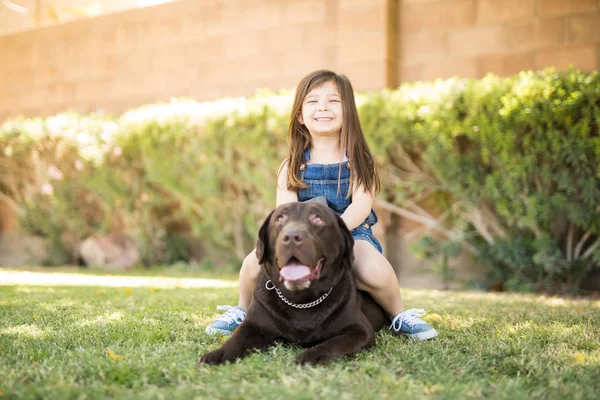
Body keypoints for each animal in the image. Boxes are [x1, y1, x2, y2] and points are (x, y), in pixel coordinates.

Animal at [199, 203, 386, 366]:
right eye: (280, 219)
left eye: (317, 219)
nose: (291, 237)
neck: (301, 301)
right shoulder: (253, 325)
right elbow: (236, 339)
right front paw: (218, 354)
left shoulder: (360, 330)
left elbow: (337, 341)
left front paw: (314, 355)